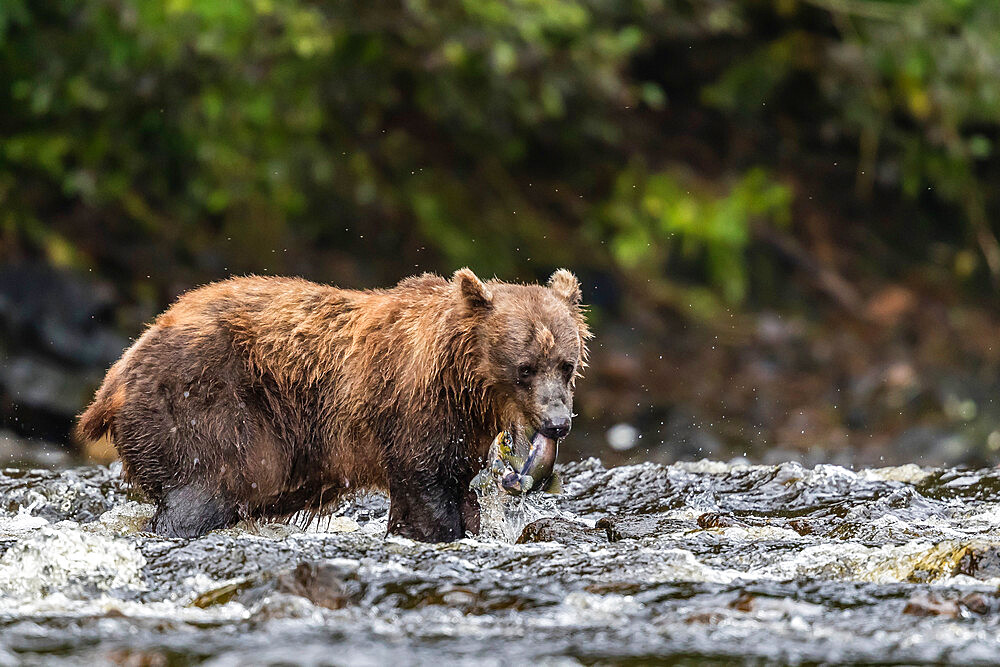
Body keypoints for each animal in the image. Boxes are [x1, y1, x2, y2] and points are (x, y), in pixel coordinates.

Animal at [84, 270, 592, 544]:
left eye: (566, 364)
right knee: (203, 489)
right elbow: (427, 487)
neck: (464, 386)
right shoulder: (413, 412)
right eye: (525, 367)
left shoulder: (463, 430)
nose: (558, 423)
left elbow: (448, 490)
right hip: (204, 402)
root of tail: (115, 375)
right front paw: (444, 530)